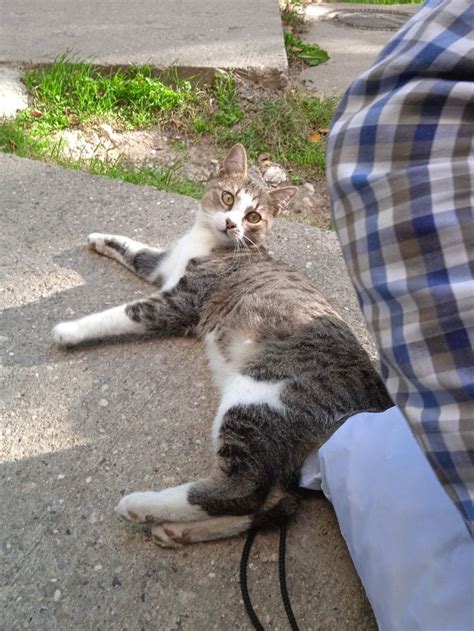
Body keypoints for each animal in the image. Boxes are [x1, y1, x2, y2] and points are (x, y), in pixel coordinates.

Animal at [52, 144, 392, 548]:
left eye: (254, 216)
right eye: (228, 197)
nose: (231, 223)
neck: (209, 242)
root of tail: (377, 397)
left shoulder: (177, 303)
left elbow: (120, 313)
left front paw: (69, 329)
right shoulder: (162, 265)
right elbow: (136, 249)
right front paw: (101, 238)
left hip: (257, 397)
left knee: (242, 489)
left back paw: (143, 505)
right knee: (276, 501)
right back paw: (178, 530)